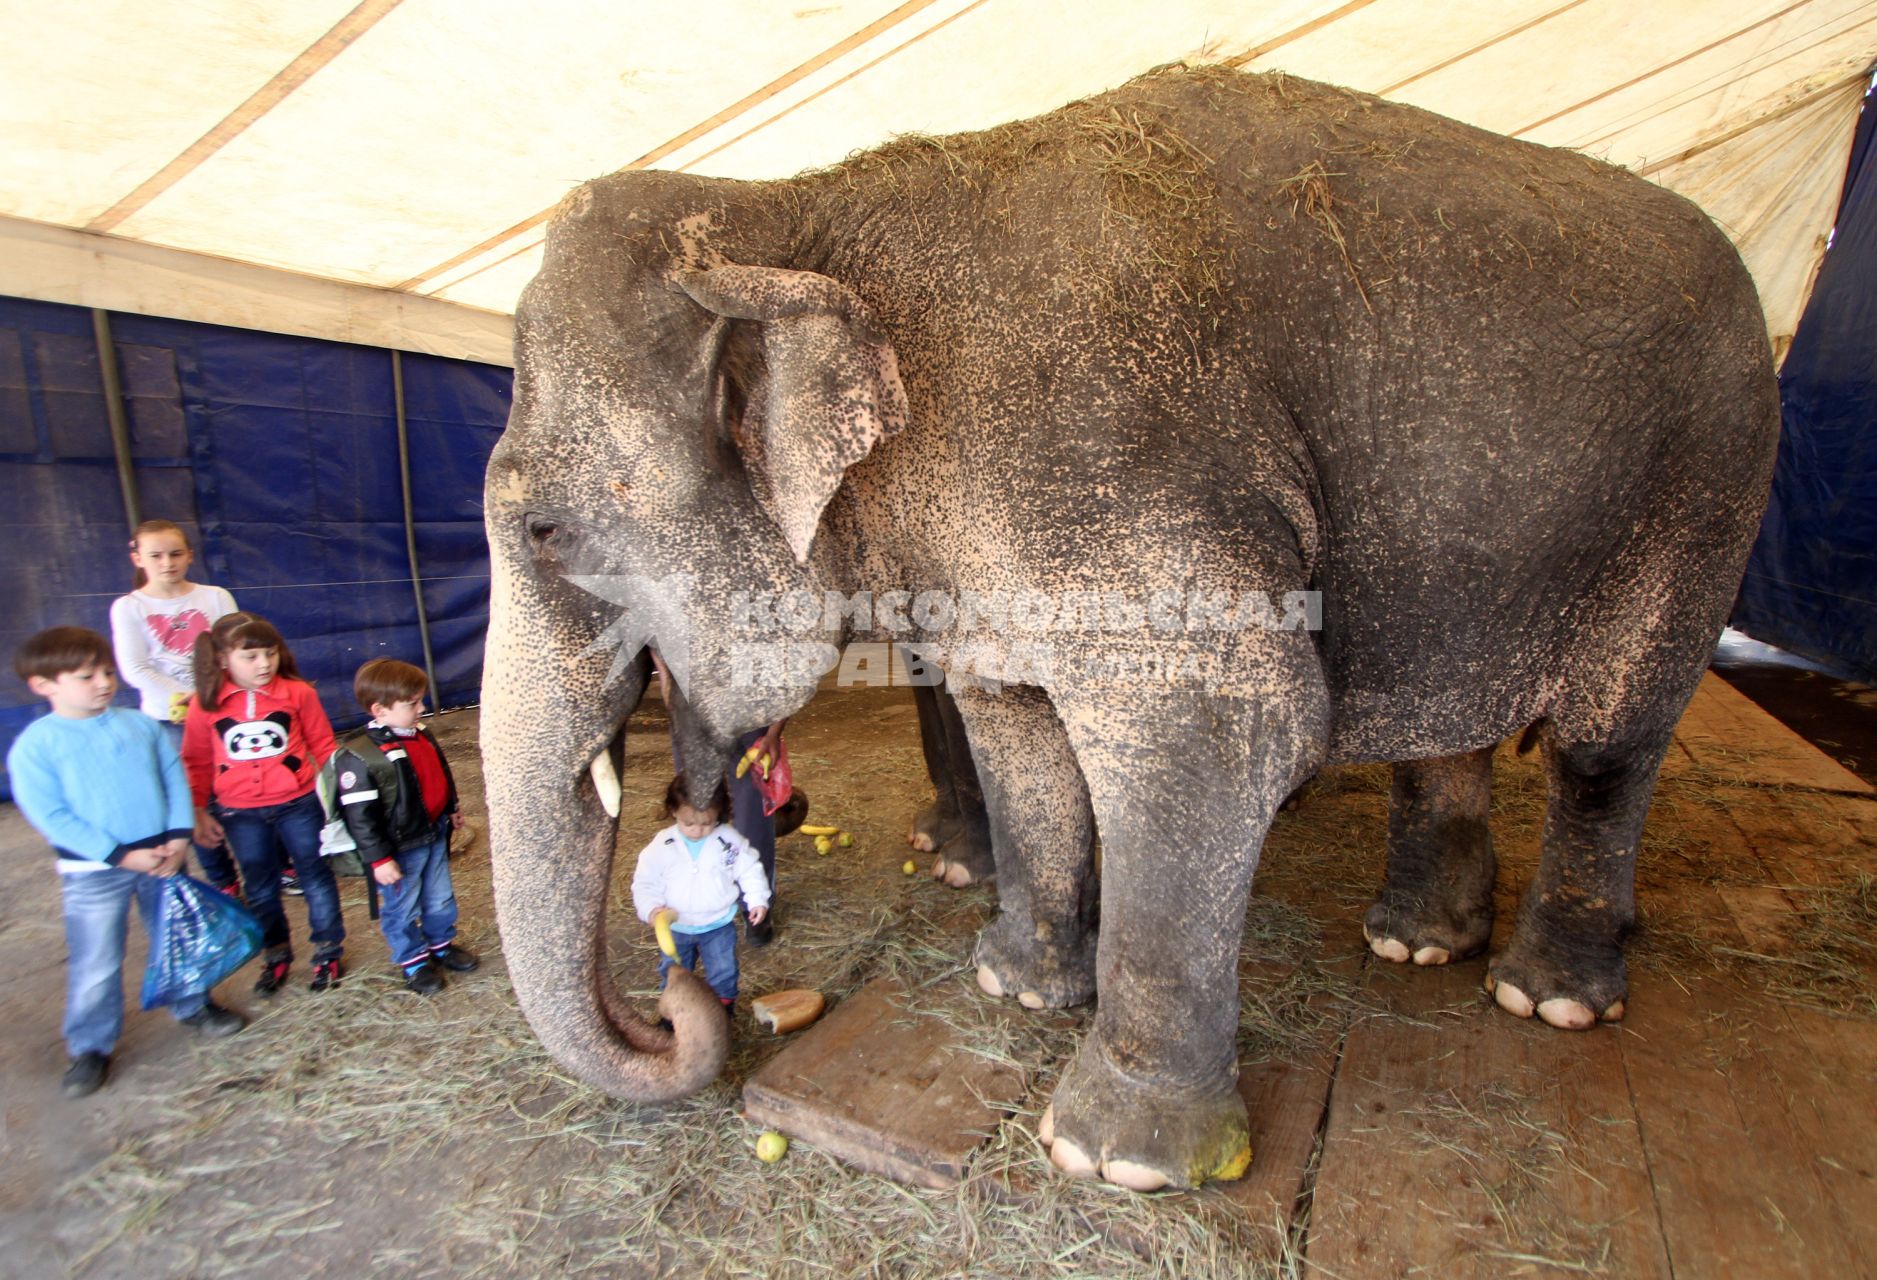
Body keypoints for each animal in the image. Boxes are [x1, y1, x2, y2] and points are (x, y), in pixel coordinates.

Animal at [480, 67, 1771, 1186]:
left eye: (543, 531)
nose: (676, 998)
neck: (791, 210)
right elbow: (1013, 721)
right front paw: (1015, 986)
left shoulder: (1112, 461)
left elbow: (1223, 725)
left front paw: (1116, 1157)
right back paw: (1415, 943)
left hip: (1705, 491)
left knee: (1605, 741)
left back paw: (1543, 995)